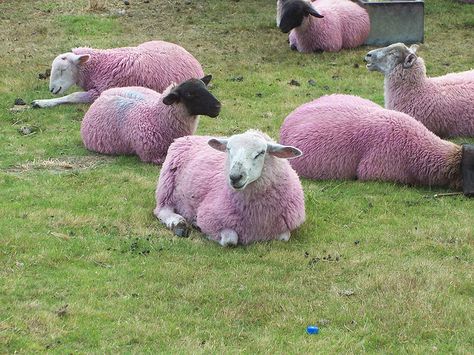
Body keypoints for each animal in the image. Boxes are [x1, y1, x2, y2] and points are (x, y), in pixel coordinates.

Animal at [32, 40, 204, 108]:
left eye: (63, 70)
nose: (52, 90)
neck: (101, 64)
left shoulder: (100, 92)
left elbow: (73, 96)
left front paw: (42, 102)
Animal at [80, 76, 221, 165]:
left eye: (205, 88)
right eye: (190, 94)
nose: (218, 106)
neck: (156, 117)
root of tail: (104, 94)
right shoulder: (153, 157)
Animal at [154, 129, 306, 246]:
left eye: (261, 153)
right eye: (228, 149)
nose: (235, 177)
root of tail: (190, 136)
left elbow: (284, 237)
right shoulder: (210, 216)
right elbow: (230, 240)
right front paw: (207, 233)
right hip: (166, 185)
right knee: (162, 210)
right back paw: (177, 222)